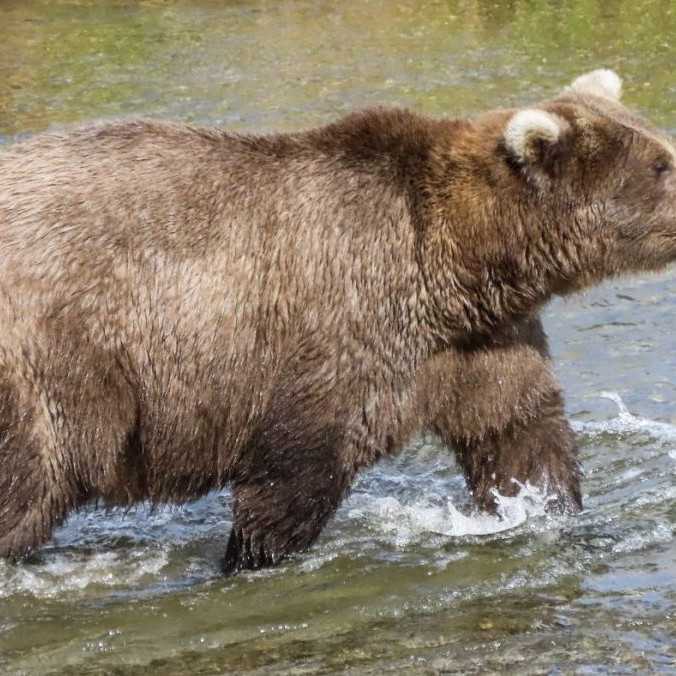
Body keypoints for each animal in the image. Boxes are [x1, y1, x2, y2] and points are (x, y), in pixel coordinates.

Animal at [0, 71, 672, 572]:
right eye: (661, 166)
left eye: (663, 146)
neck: (458, 263)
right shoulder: (343, 323)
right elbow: (296, 471)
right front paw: (251, 557)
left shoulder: (482, 342)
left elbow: (520, 431)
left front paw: (541, 509)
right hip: (50, 369)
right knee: (26, 484)